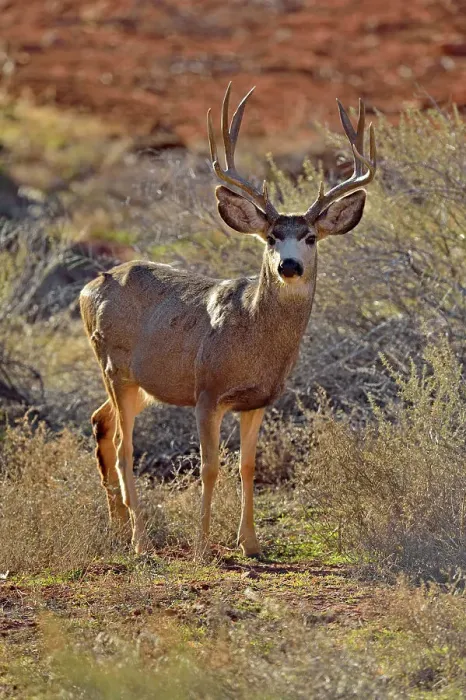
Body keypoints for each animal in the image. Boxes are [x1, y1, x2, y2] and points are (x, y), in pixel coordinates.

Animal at [80, 83, 376, 557]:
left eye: (310, 237)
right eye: (271, 237)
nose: (289, 265)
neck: (252, 338)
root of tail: (89, 287)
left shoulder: (258, 401)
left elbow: (248, 466)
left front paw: (251, 543)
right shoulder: (207, 392)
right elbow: (210, 467)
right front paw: (202, 546)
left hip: (142, 385)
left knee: (100, 423)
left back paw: (118, 529)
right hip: (114, 368)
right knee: (125, 447)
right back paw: (140, 542)